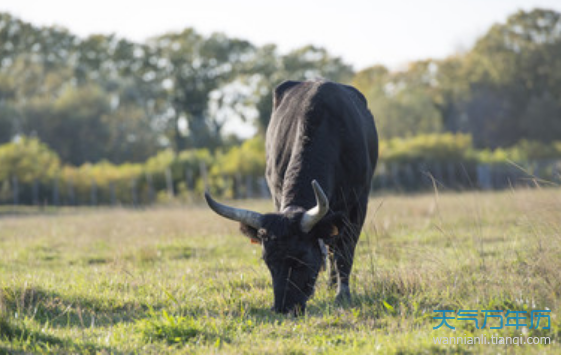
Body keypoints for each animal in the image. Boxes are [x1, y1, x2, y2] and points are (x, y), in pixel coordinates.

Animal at [203, 80, 378, 314]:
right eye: (267, 260)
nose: (284, 308)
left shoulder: (357, 206)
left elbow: (345, 252)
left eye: (302, 259)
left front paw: (342, 294)